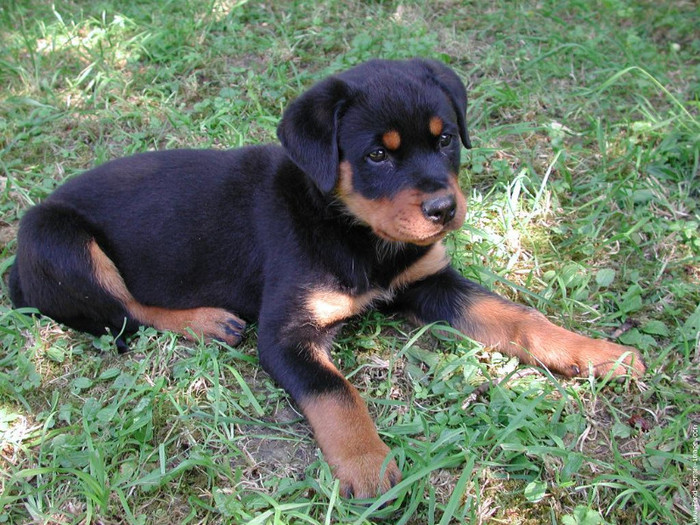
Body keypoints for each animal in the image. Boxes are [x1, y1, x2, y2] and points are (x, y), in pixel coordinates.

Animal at [10, 58, 644, 500]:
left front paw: (596, 353)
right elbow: (335, 393)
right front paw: (369, 466)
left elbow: (517, 316)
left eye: (444, 139)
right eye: (377, 157)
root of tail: (16, 267)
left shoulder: (430, 281)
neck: (357, 232)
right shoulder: (285, 333)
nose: (444, 209)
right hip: (59, 238)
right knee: (127, 313)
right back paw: (206, 321)